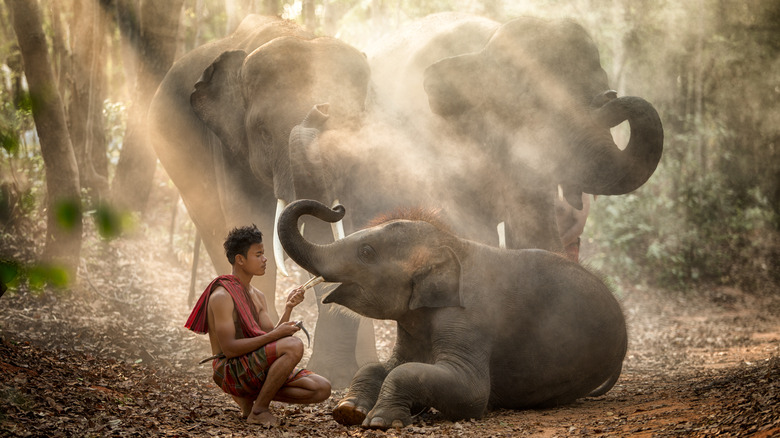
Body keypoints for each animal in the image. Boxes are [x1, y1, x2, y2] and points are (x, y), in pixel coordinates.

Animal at [149, 14, 374, 386]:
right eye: (264, 132)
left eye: (353, 128)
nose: (322, 108)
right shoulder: (227, 144)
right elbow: (249, 216)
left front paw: (339, 375)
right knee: (213, 226)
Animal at [276, 200, 628, 430]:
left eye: (366, 252)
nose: (338, 207)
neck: (453, 243)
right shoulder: (413, 321)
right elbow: (387, 365)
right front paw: (348, 412)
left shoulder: (468, 319)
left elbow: (469, 391)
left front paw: (380, 421)